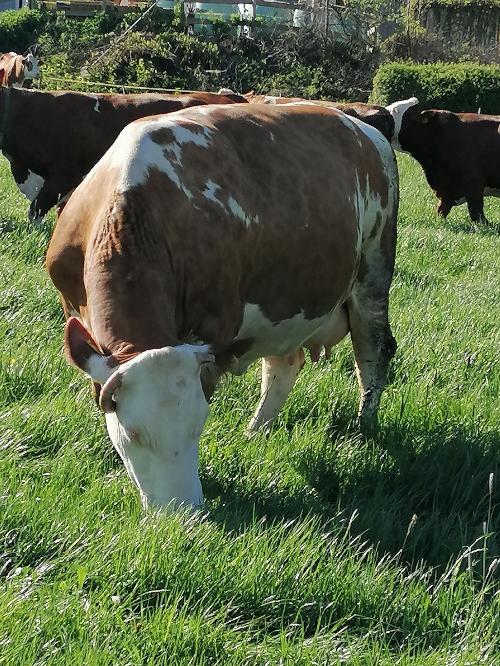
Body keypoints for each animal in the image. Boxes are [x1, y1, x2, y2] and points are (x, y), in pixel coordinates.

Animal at [46, 103, 398, 511]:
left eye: (198, 426)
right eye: (132, 434)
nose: (181, 513)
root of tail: (362, 127)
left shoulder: (213, 329)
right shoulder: (75, 312)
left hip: (373, 272)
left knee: (374, 351)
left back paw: (364, 427)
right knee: (284, 364)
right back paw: (257, 431)